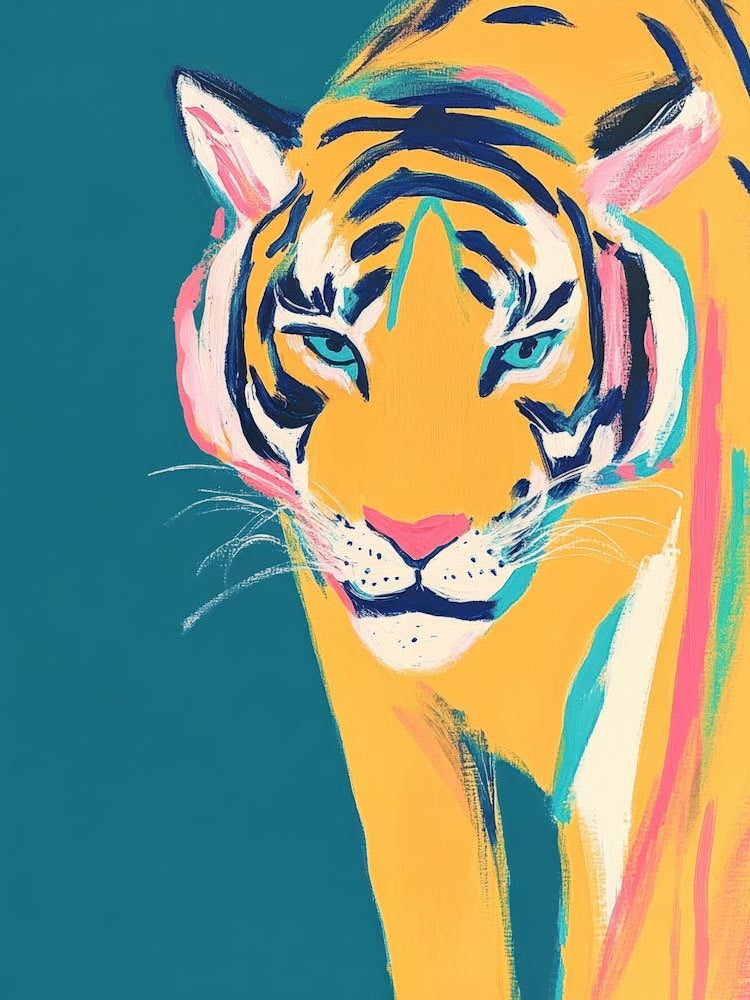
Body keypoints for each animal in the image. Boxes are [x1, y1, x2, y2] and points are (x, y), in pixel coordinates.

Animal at [170, 1, 750, 996]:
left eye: (525, 349)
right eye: (329, 343)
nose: (416, 536)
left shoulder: (660, 717)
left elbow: (646, 928)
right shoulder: (375, 692)